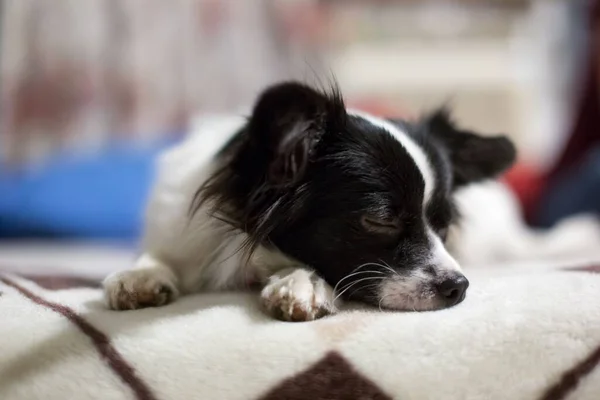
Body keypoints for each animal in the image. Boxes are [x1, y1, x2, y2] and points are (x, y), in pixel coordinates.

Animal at [103, 81, 516, 322]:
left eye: (443, 227)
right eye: (381, 221)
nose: (458, 286)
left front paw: (301, 281)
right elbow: (158, 256)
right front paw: (140, 275)